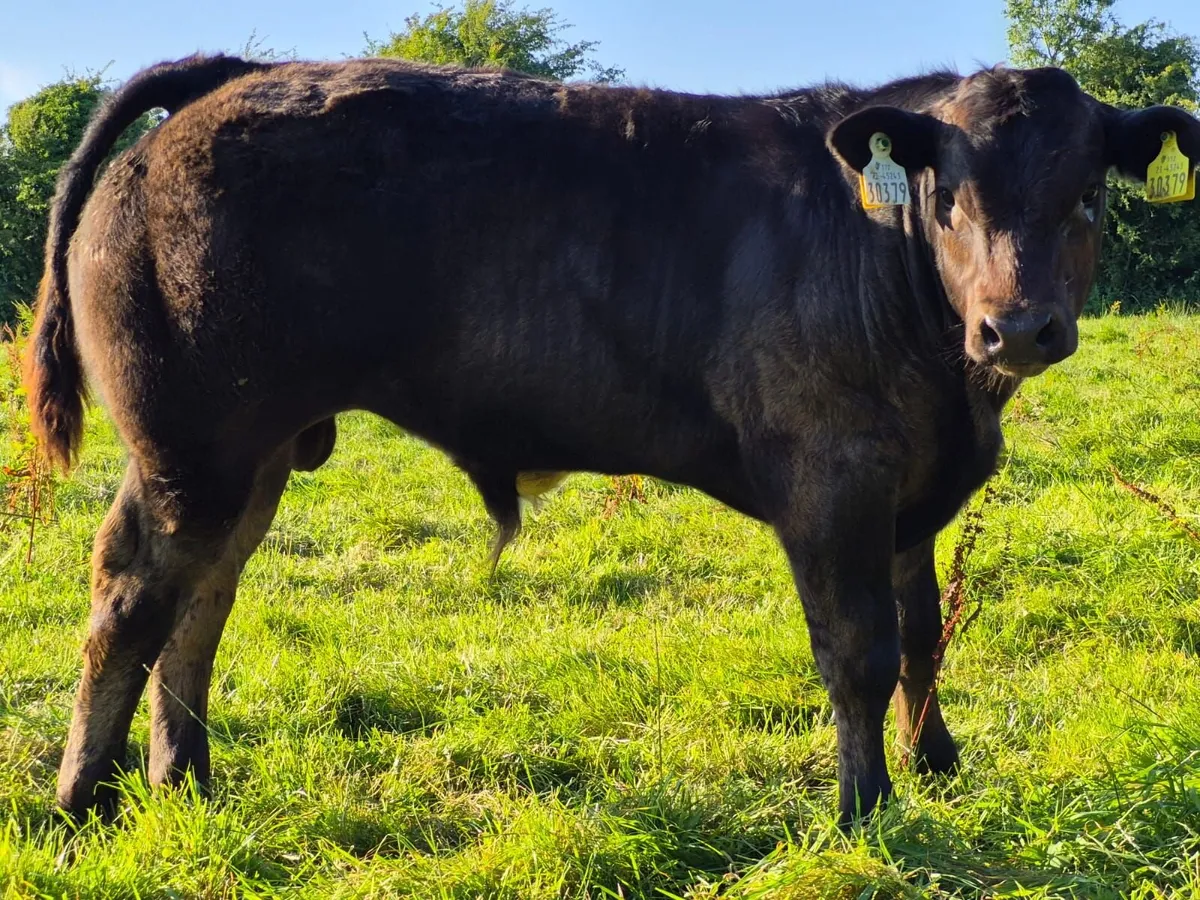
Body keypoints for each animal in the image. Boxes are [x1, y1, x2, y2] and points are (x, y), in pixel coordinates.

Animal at [24, 53, 1199, 828]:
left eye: (1088, 192)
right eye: (947, 196)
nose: (1018, 327)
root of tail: (234, 78)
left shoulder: (913, 484)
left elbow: (922, 635)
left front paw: (938, 763)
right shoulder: (834, 476)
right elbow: (859, 650)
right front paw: (864, 808)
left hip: (254, 450)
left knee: (203, 600)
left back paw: (186, 781)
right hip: (190, 445)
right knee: (130, 597)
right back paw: (82, 802)